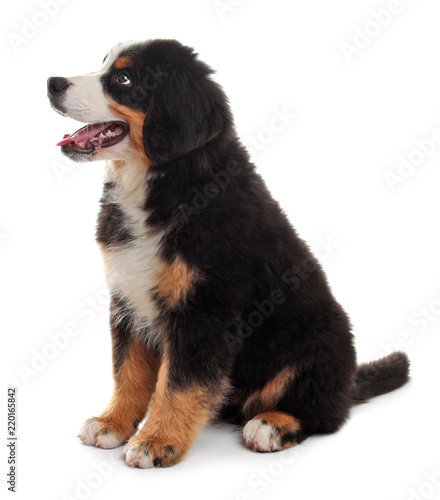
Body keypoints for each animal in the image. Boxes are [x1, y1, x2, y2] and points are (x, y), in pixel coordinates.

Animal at [46, 39, 410, 468]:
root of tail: (348, 380)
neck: (163, 185)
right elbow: (128, 370)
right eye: (102, 64)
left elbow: (180, 383)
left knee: (325, 413)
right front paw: (112, 423)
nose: (52, 83)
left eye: (123, 79)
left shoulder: (205, 309)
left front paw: (157, 441)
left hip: (318, 342)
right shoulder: (127, 297)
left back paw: (272, 425)